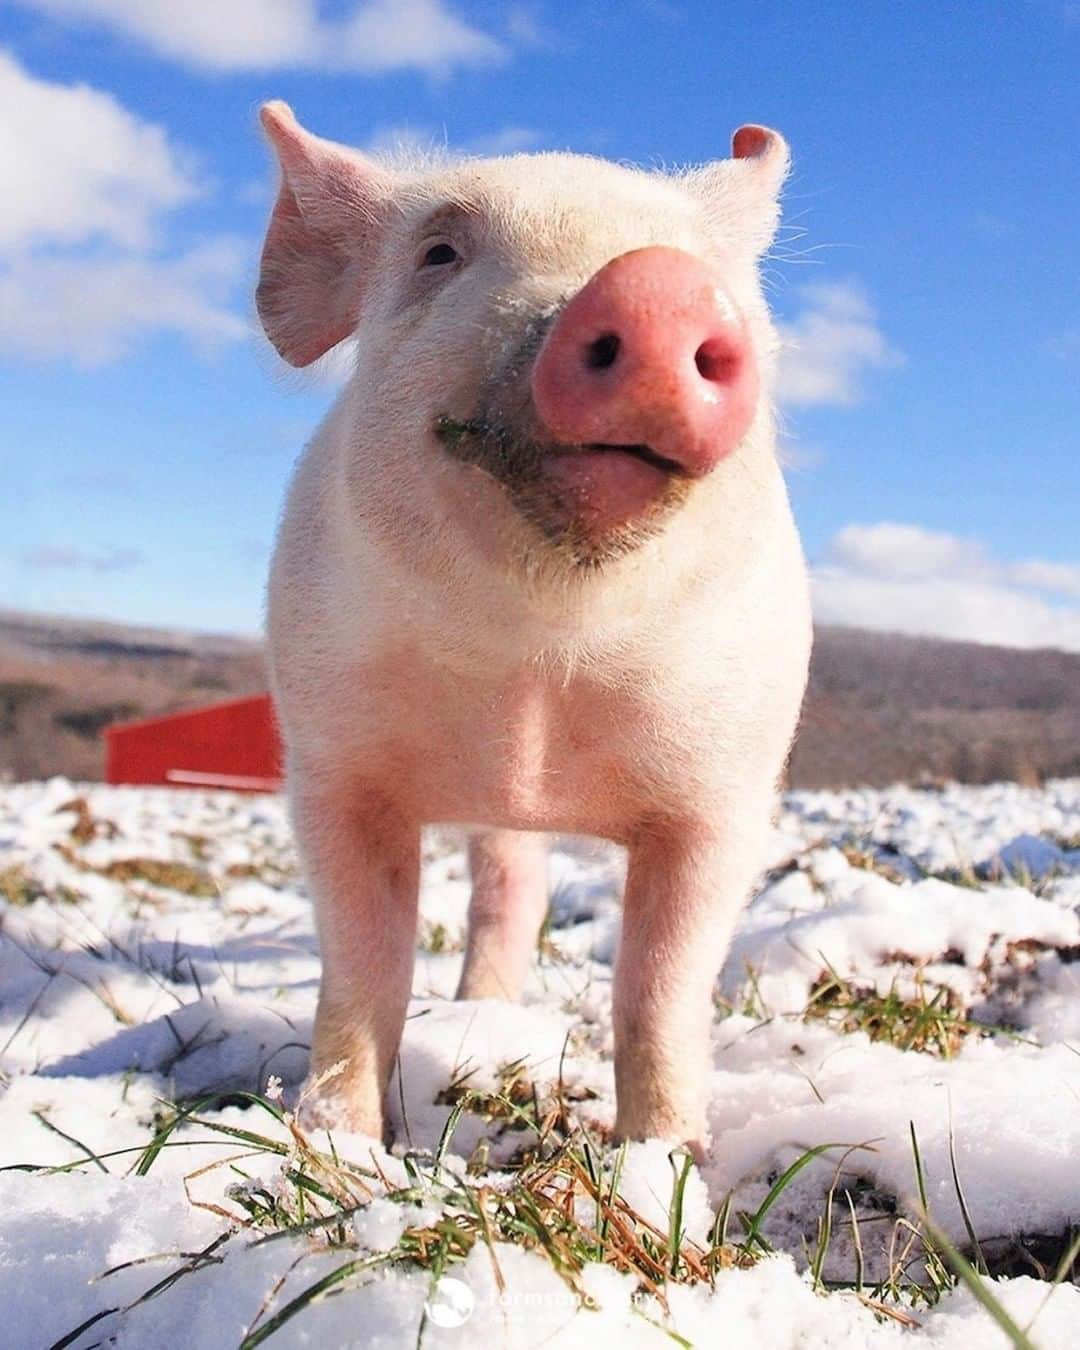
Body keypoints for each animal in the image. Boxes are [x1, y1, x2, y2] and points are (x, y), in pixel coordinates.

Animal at [255, 99, 810, 1155]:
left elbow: (662, 990)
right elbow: (362, 965)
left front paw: (665, 1164)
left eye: (707, 270)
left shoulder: (727, 791)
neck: (536, 663)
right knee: (502, 890)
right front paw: (338, 1145)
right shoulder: (328, 760)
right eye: (439, 252)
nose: (656, 284)